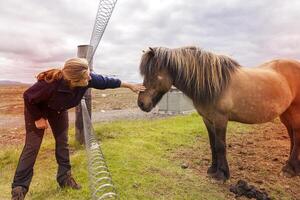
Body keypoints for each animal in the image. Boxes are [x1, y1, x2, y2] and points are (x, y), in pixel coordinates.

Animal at [137, 46, 300, 181]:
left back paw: (288, 169)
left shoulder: (221, 119)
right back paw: (293, 167)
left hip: (295, 111)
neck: (213, 84)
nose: (141, 103)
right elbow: (212, 144)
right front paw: (212, 169)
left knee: (297, 135)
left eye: (153, 74)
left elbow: (220, 145)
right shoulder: (208, 119)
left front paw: (222, 174)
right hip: (286, 114)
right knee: (292, 135)